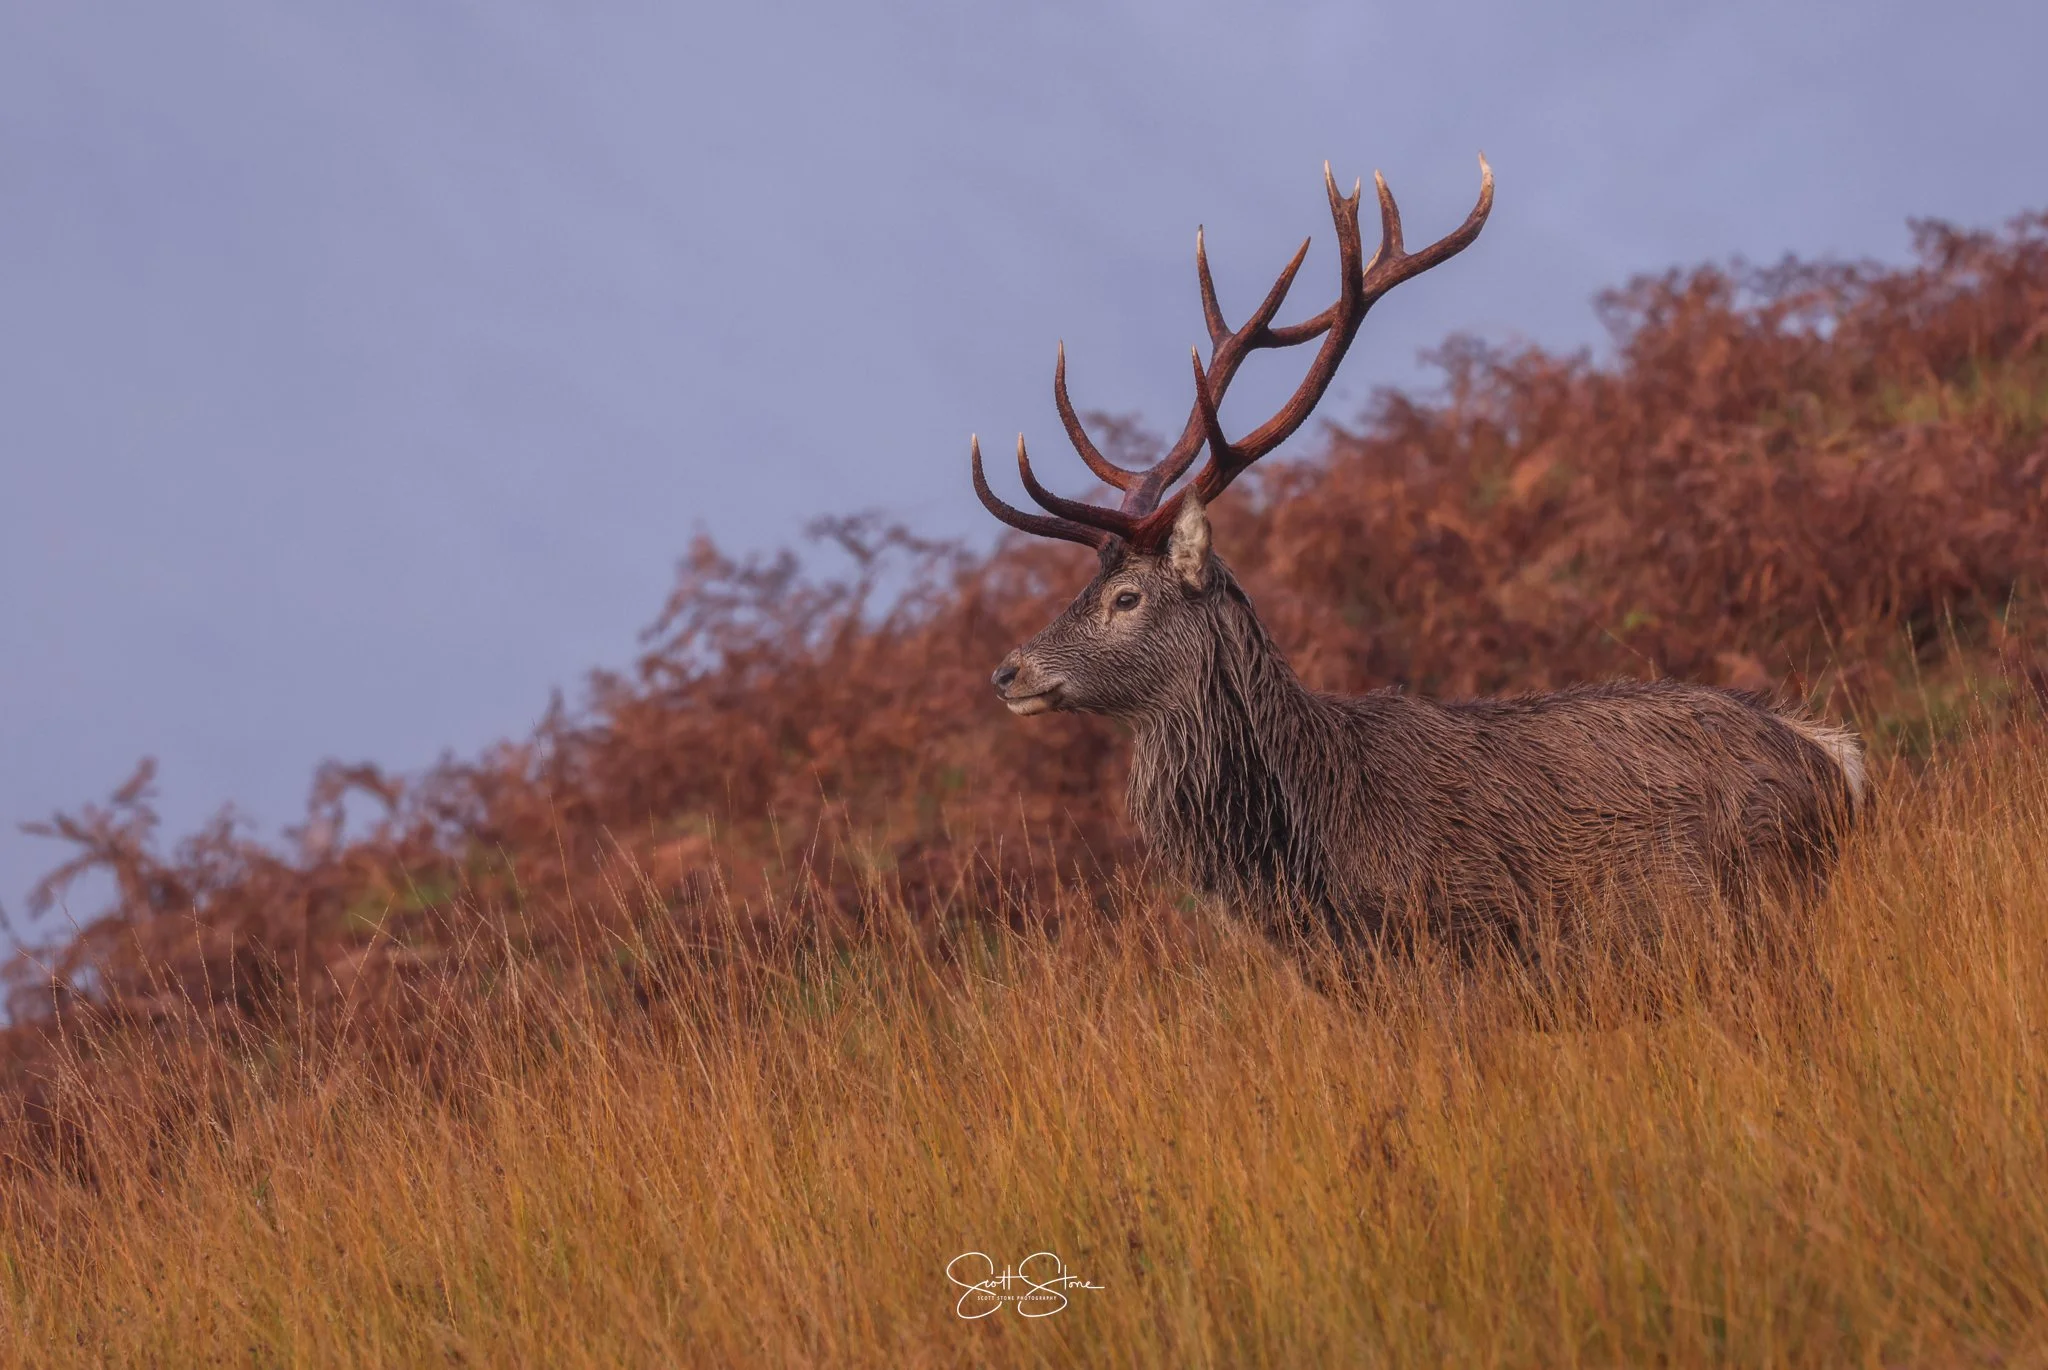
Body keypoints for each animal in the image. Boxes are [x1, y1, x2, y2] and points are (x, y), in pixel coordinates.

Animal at [971, 154, 1867, 956]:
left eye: (1127, 598)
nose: (1007, 670)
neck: (1315, 853)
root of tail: (1839, 765)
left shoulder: (1458, 945)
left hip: (1759, 900)